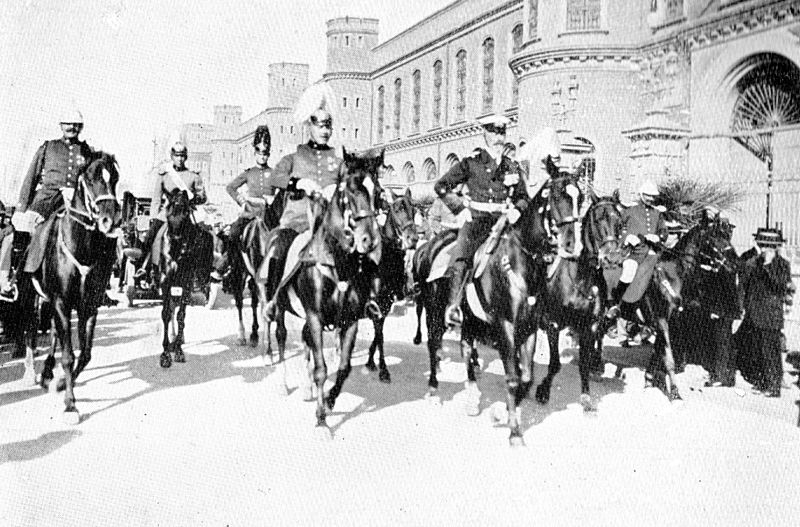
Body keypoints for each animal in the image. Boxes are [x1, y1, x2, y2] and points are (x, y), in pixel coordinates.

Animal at [18, 153, 122, 424]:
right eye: (90, 177)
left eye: (114, 178)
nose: (110, 220)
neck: (81, 246)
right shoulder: (62, 303)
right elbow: (68, 356)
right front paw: (70, 406)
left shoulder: (89, 306)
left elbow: (84, 354)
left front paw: (62, 384)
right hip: (30, 297)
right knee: (30, 329)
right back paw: (30, 371)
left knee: (54, 332)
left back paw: (47, 373)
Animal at [155, 189, 212, 368]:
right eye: (170, 204)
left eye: (187, 209)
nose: (176, 238)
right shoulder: (165, 282)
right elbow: (166, 314)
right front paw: (165, 354)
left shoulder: (186, 283)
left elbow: (181, 316)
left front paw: (178, 351)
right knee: (171, 308)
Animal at [266, 147, 382, 438]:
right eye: (351, 189)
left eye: (377, 191)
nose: (370, 241)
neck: (336, 261)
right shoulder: (316, 317)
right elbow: (321, 369)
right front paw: (320, 419)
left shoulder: (350, 321)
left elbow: (343, 368)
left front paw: (329, 400)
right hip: (280, 307)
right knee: (282, 337)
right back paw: (284, 383)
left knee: (306, 341)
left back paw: (309, 391)